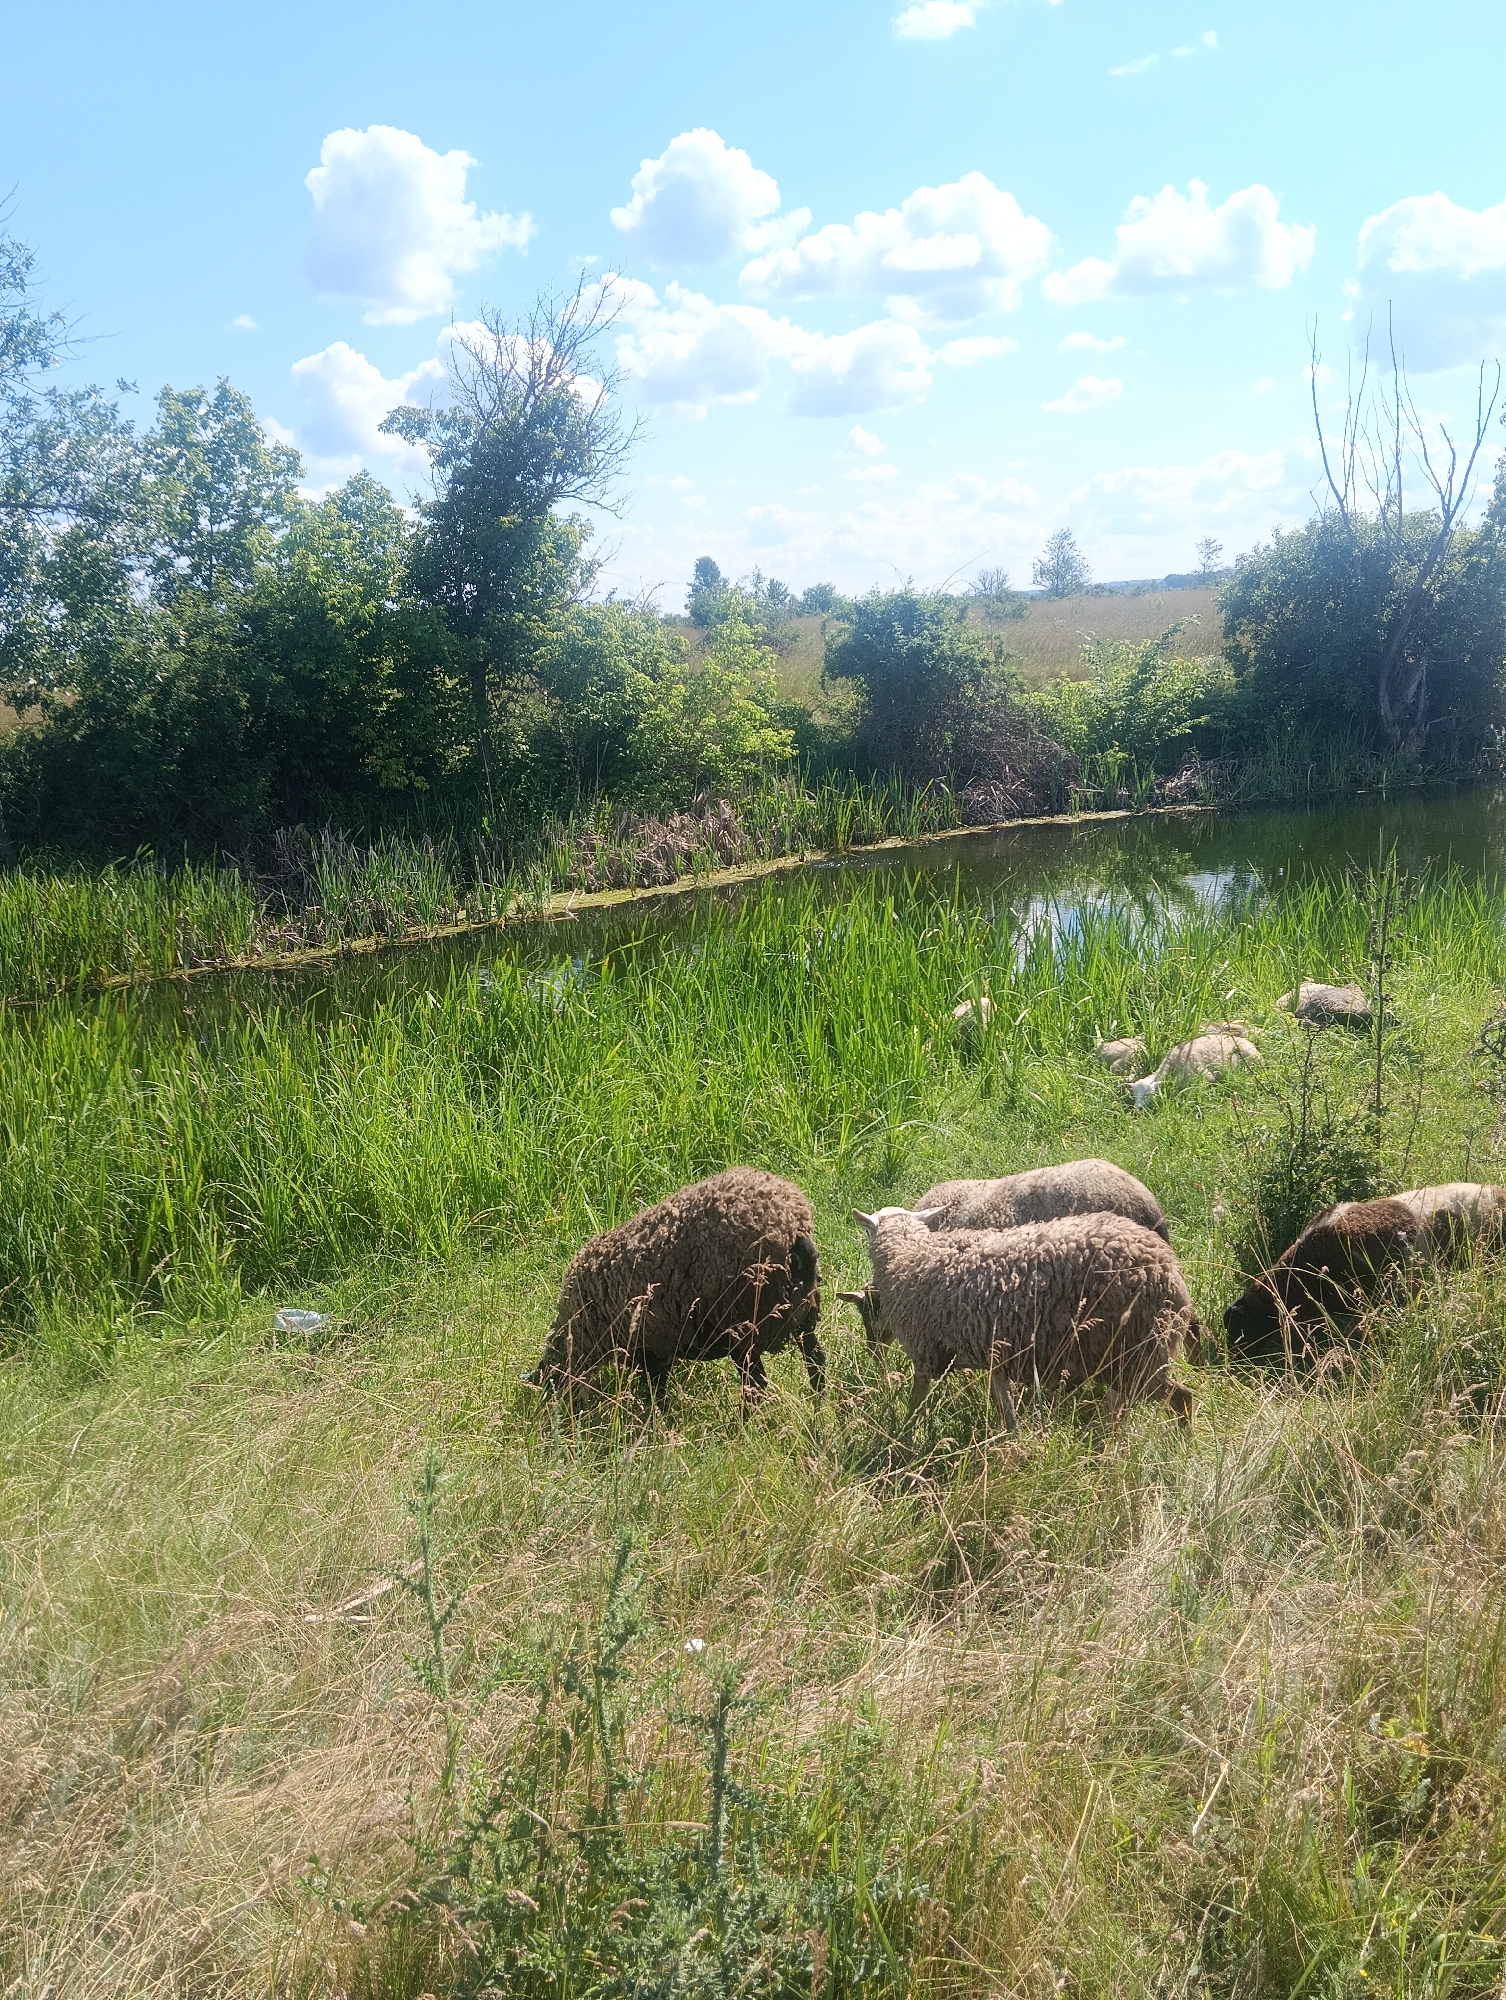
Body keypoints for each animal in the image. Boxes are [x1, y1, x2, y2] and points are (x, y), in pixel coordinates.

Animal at [524, 1169, 823, 1402]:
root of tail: (792, 1227)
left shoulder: (649, 1348)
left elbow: (656, 1392)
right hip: (803, 1313)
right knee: (816, 1364)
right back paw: (820, 1408)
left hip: (743, 1322)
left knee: (756, 1388)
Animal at [842, 1208, 1198, 1430]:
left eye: (866, 1313)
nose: (872, 1353)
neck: (911, 1255)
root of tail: (1170, 1271)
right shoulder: (993, 1355)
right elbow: (1006, 1408)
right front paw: (1011, 1442)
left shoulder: (925, 1354)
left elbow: (915, 1405)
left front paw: (903, 1439)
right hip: (1125, 1354)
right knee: (1124, 1406)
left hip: (1136, 1351)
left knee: (1182, 1398)